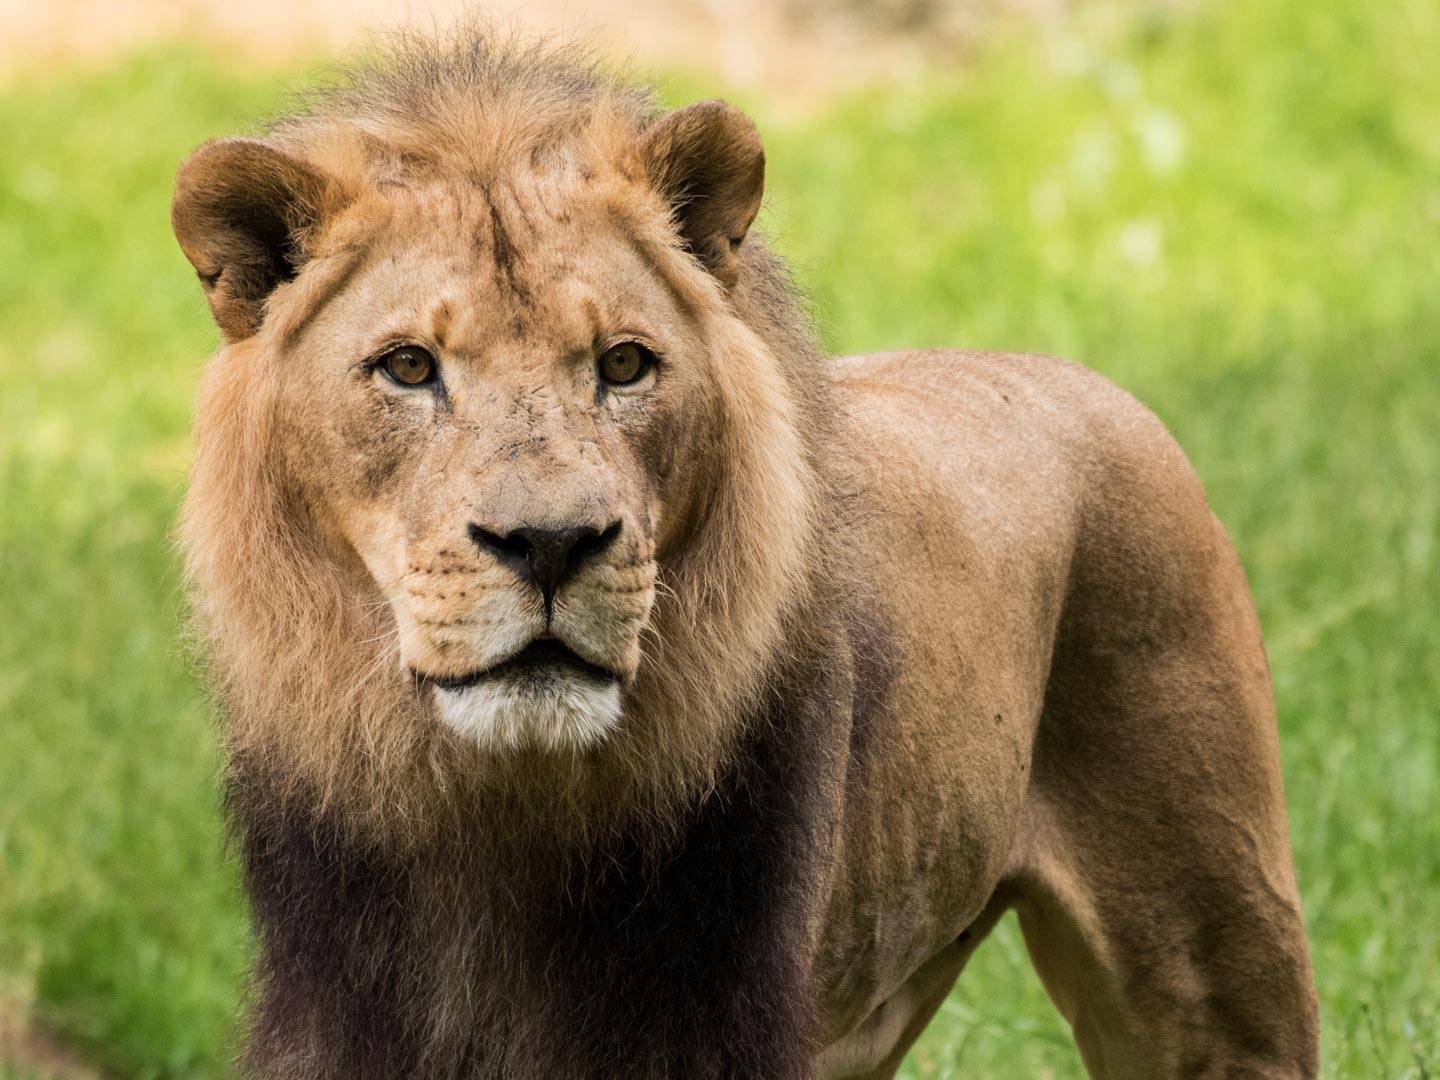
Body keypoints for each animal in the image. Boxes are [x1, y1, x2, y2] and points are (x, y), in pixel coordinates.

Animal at [171, 29, 1319, 1080]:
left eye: (624, 364)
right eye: (409, 368)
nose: (550, 543)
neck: (497, 817)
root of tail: (1080, 378)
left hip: (1214, 957)